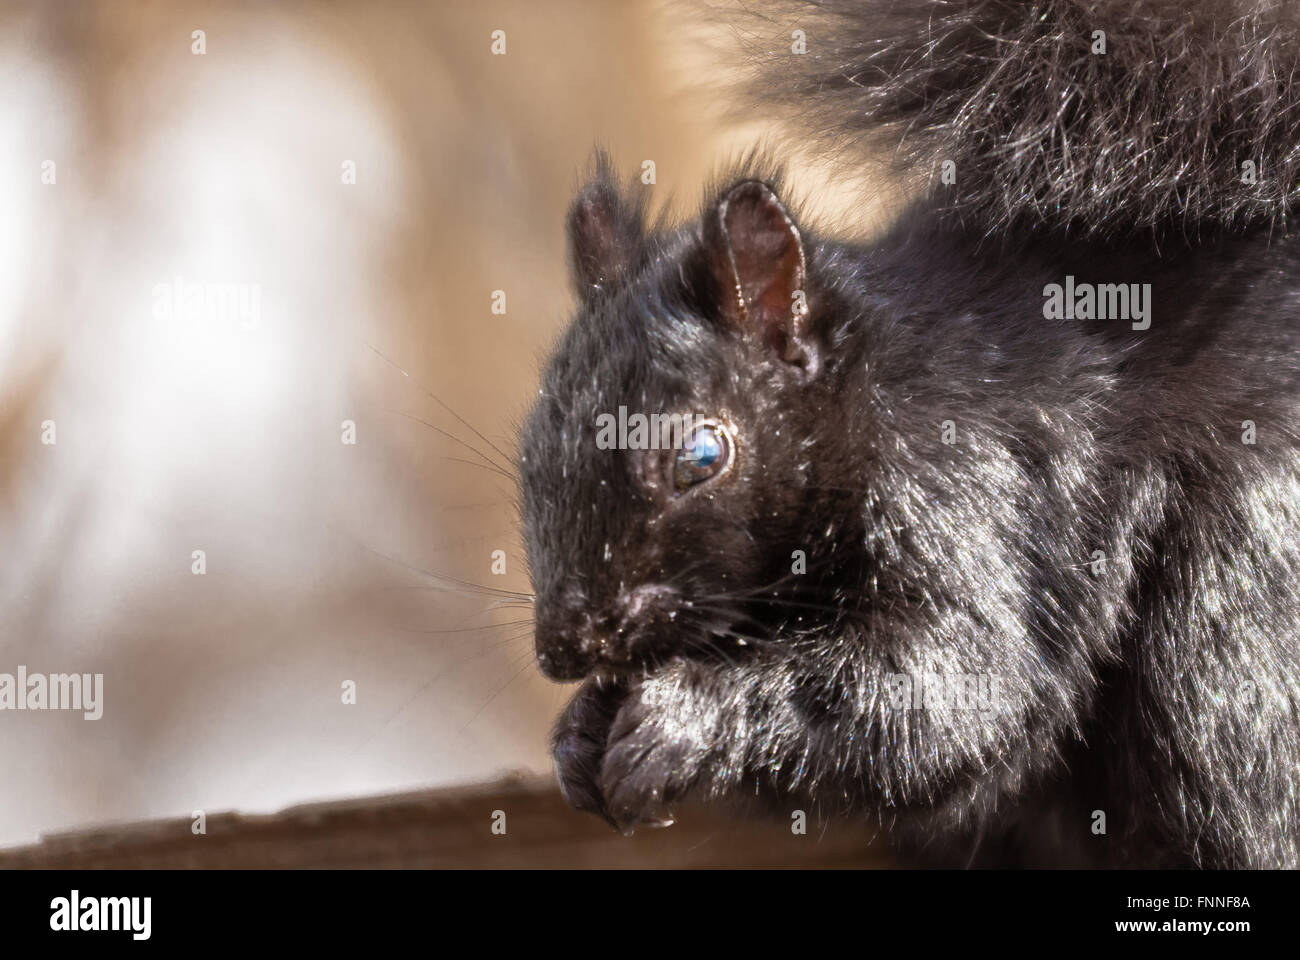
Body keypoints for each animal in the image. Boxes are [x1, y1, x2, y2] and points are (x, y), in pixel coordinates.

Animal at [512, 0, 1300, 868]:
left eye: (701, 456)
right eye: (532, 444)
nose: (565, 646)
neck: (871, 394)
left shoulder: (969, 485)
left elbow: (950, 681)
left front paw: (683, 715)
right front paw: (580, 731)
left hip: (1231, 608)